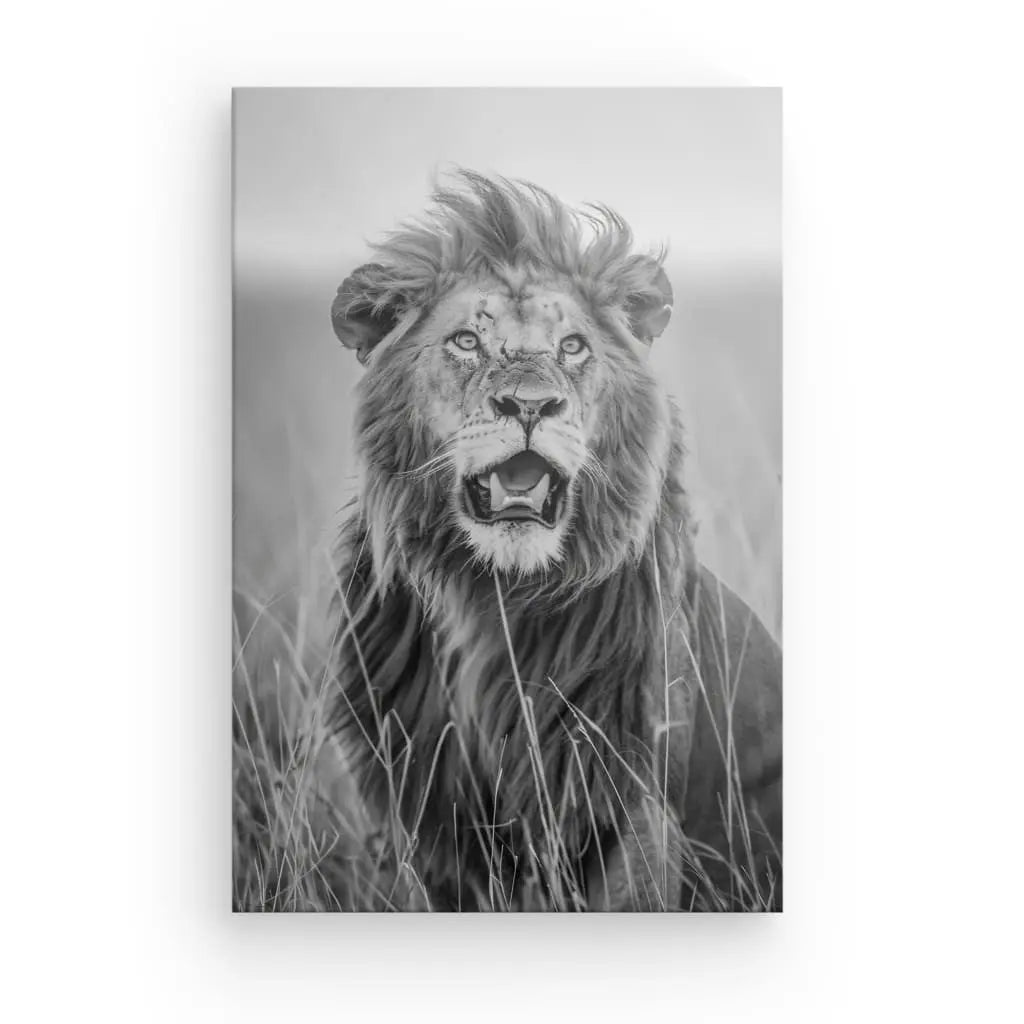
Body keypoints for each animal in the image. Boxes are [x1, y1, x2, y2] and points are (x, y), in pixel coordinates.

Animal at [328, 171, 782, 911]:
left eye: (572, 346)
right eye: (466, 342)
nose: (529, 405)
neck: (494, 596)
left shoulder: (631, 801)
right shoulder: (433, 818)